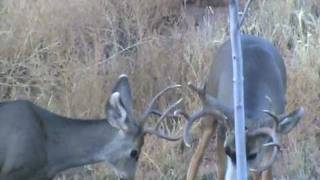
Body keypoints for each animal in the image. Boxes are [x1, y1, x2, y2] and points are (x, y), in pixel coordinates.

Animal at [178, 34, 304, 179]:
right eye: (228, 150)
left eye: (253, 154)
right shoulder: (224, 132)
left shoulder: (273, 139)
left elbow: (265, 173)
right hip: (210, 111)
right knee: (198, 157)